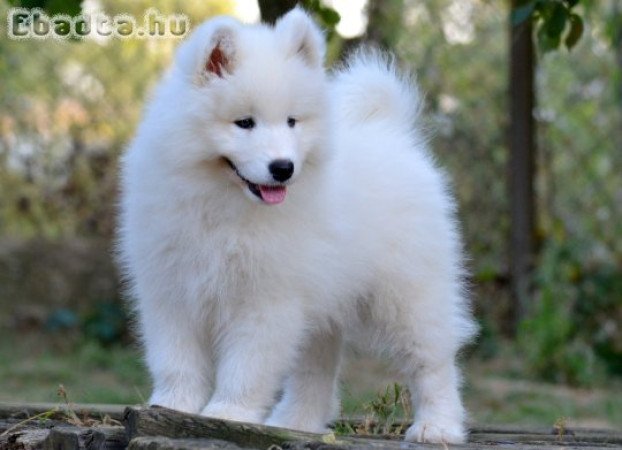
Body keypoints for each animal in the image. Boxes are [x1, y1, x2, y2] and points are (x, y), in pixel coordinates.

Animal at [118, 5, 478, 444]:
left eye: (292, 122)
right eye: (244, 123)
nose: (283, 168)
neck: (224, 203)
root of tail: (391, 132)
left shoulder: (266, 299)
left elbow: (246, 365)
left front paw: (227, 413)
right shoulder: (170, 289)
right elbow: (176, 359)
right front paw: (172, 406)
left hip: (410, 293)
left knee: (433, 360)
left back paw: (437, 426)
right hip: (323, 301)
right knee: (316, 368)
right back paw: (296, 422)